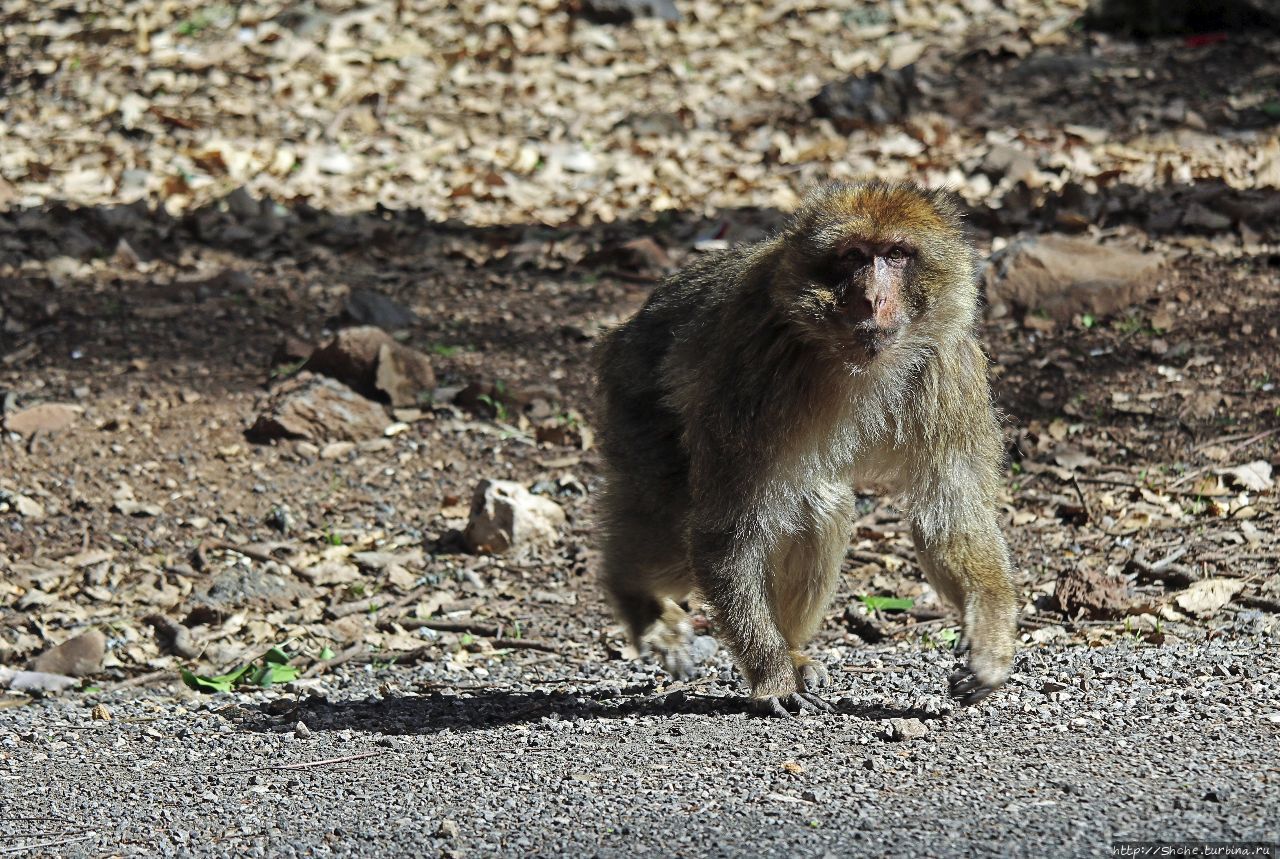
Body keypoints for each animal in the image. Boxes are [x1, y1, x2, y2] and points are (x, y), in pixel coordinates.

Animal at [591, 177, 1018, 716]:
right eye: (854, 256)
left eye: (897, 255)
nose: (874, 298)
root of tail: (627, 327)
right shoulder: (753, 374)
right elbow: (725, 535)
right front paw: (770, 677)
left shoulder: (948, 367)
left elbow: (950, 515)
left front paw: (990, 638)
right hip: (638, 406)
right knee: (666, 523)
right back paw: (635, 595)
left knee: (819, 506)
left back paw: (792, 649)